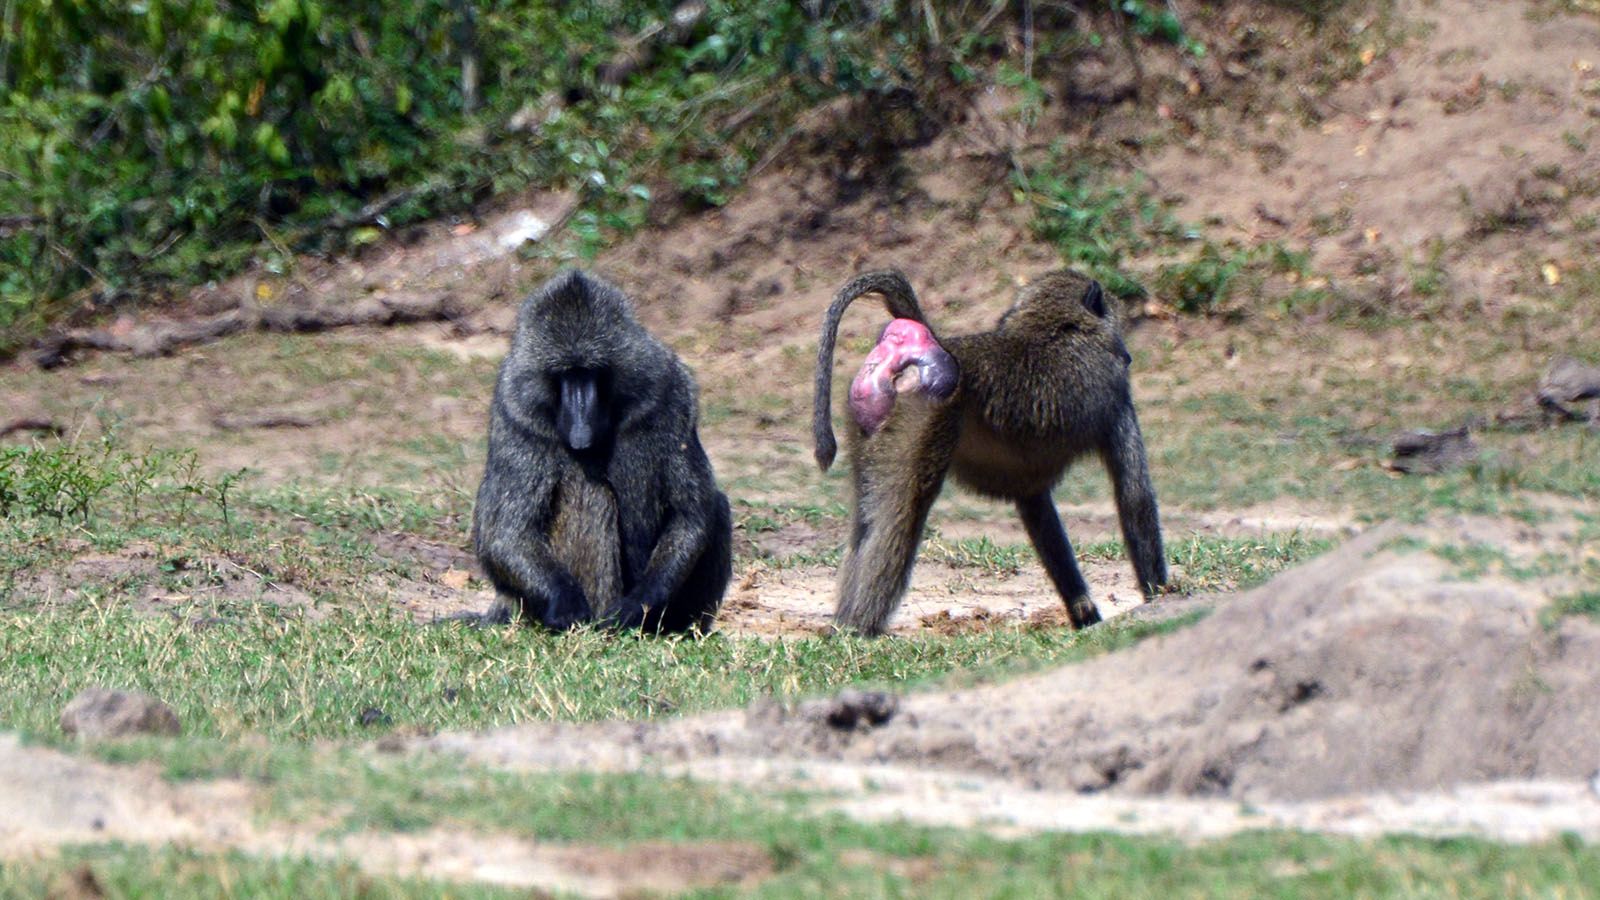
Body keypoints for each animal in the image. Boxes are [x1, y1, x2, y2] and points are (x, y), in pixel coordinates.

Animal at [471, 269, 732, 634]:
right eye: (564, 375)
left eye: (592, 372)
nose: (581, 421)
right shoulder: (516, 413)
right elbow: (505, 533)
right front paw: (566, 604)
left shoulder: (670, 393)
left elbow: (691, 513)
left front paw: (636, 607)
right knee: (590, 494)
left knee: (718, 506)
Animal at [813, 269, 1167, 636]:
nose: (1128, 355)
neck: (1055, 326)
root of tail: (933, 344)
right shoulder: (1117, 392)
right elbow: (1134, 496)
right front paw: (1159, 596)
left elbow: (1037, 507)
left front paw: (1085, 614)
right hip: (928, 414)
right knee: (903, 511)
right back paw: (861, 630)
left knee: (868, 516)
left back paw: (843, 626)